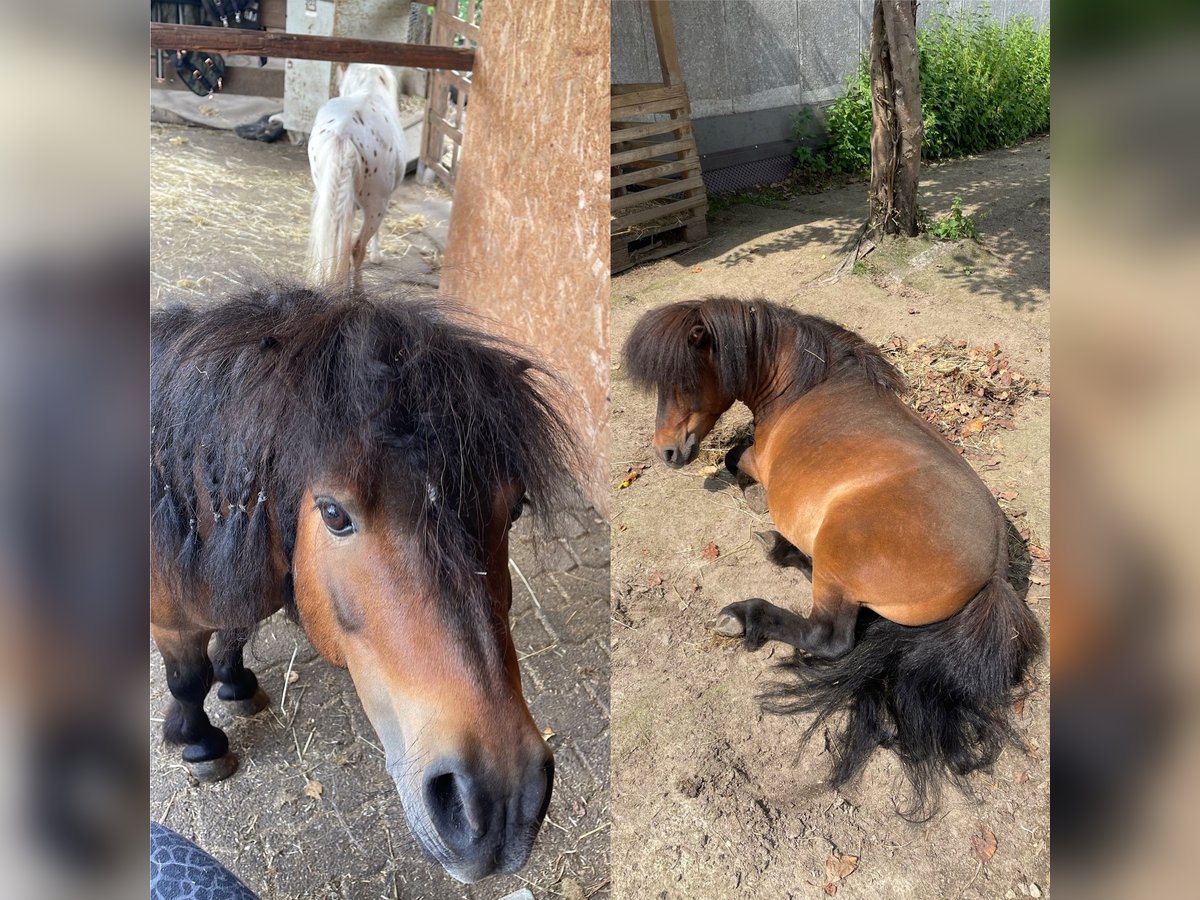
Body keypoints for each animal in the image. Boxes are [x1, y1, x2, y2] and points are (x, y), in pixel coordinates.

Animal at [151, 282, 576, 883]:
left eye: (515, 508)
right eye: (333, 513)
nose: (501, 801)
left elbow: (234, 635)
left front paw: (238, 685)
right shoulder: (172, 625)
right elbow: (188, 680)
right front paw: (201, 743)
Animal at [624, 300, 1046, 820]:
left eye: (684, 381)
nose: (665, 451)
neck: (804, 384)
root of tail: (994, 578)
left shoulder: (756, 459)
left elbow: (733, 457)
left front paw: (751, 497)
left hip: (836, 556)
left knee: (828, 635)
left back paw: (746, 611)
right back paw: (778, 547)